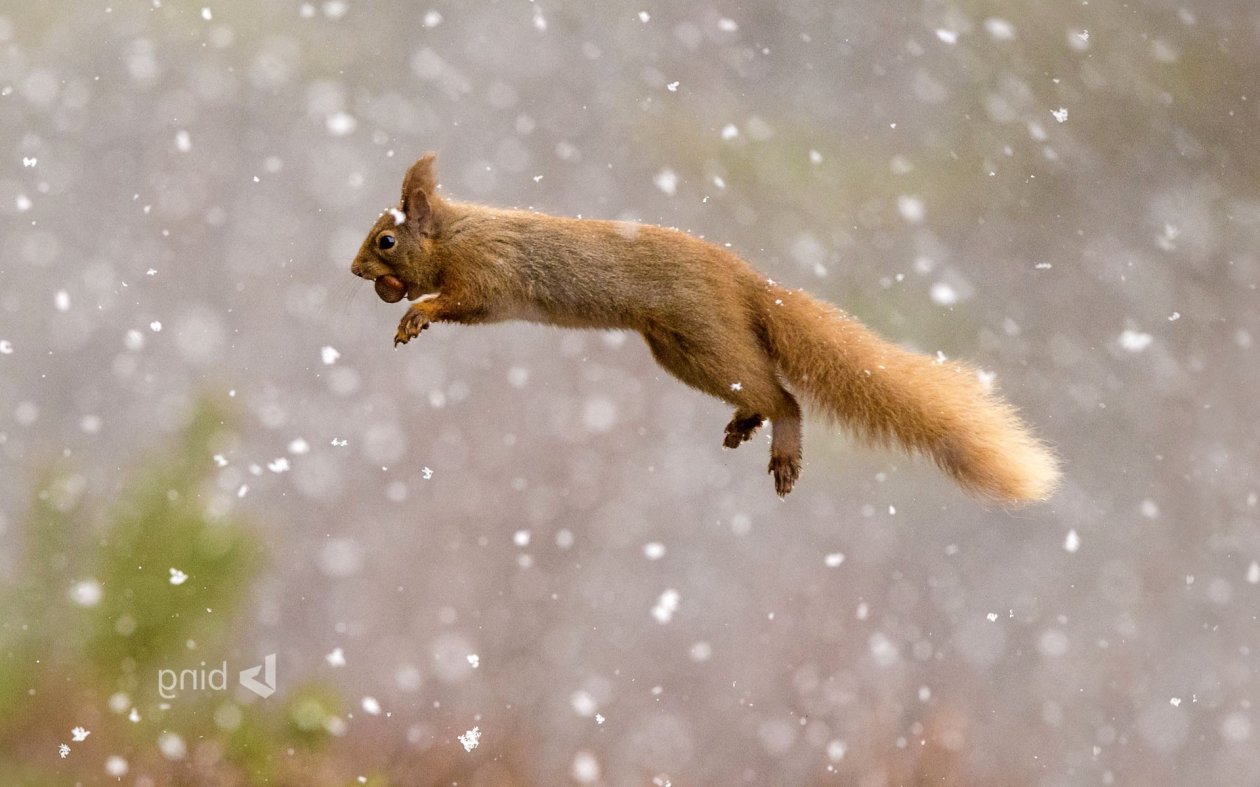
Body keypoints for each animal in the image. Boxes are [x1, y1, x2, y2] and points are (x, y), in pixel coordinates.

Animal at [350, 153, 1060, 502]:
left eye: (386, 240)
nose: (356, 270)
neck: (454, 233)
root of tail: (747, 282)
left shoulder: (488, 273)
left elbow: (460, 300)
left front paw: (417, 315)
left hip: (703, 337)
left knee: (785, 395)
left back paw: (782, 446)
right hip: (680, 351)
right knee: (761, 389)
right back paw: (747, 424)